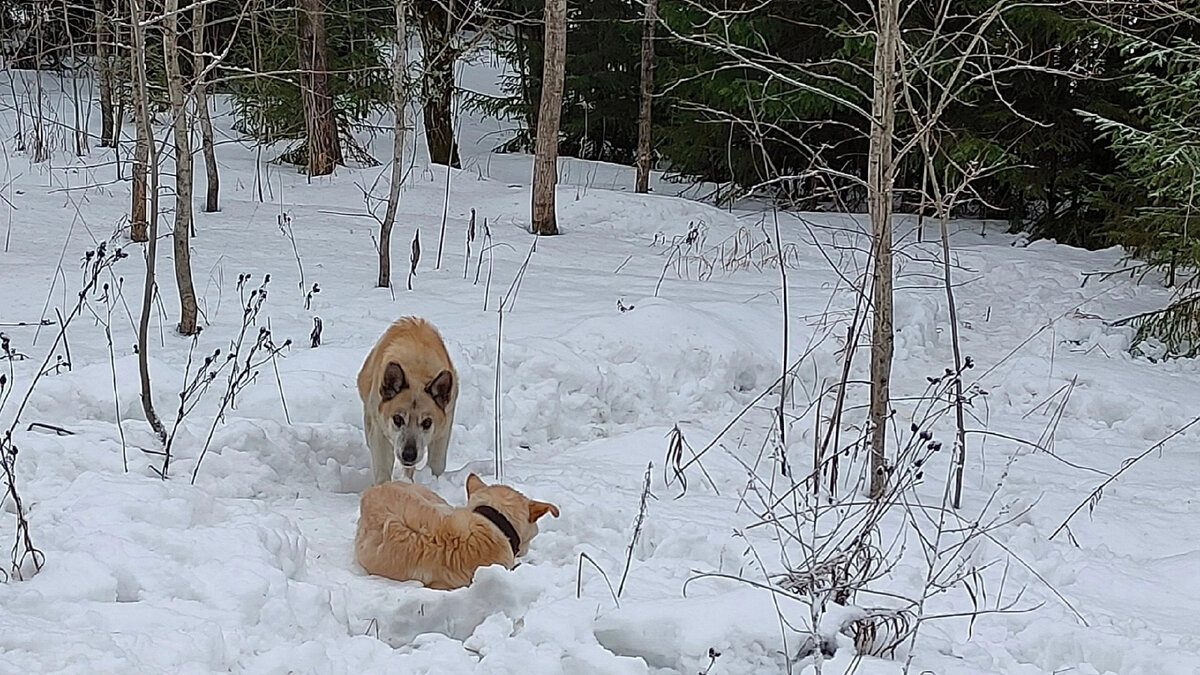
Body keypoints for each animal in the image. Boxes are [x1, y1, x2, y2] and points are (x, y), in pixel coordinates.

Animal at [352, 317, 456, 482]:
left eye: (427, 422)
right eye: (397, 419)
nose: (409, 455)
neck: (416, 372)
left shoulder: (444, 427)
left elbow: (437, 464)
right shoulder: (379, 432)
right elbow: (382, 469)